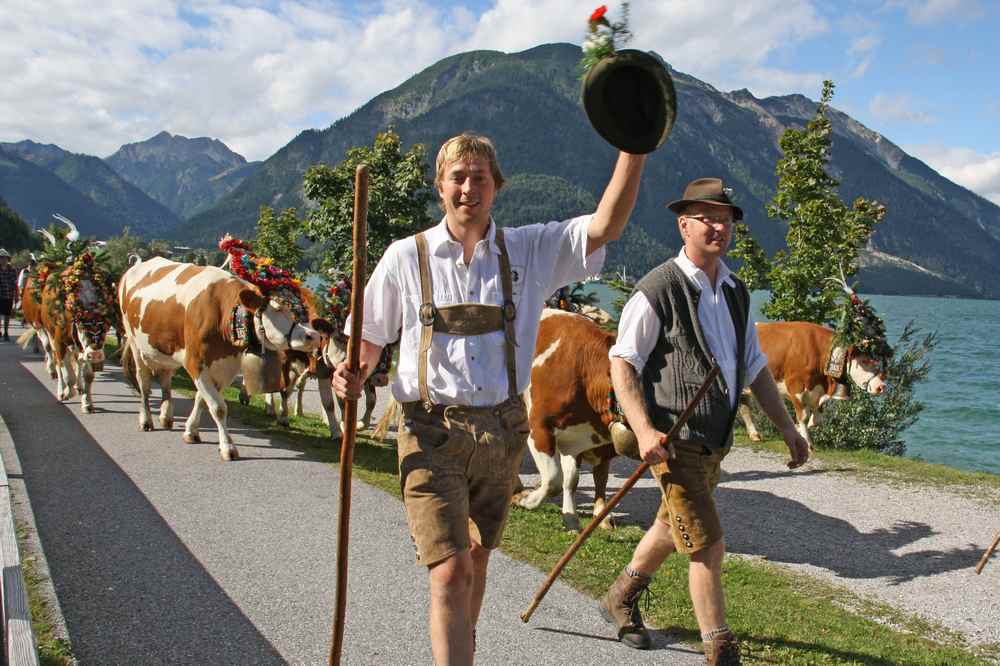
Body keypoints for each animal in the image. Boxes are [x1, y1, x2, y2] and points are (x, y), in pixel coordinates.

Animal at [119, 236, 332, 460]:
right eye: (278, 307)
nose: (313, 336)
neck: (223, 313)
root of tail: (138, 264)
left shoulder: (226, 366)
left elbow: (202, 400)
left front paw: (191, 432)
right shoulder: (195, 363)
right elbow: (218, 406)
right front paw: (227, 447)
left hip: (165, 349)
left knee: (166, 377)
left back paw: (166, 416)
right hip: (134, 343)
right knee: (144, 383)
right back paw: (146, 420)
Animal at [516, 308, 616, 532]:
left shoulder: (577, 439)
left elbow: (571, 480)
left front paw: (571, 519)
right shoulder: (539, 428)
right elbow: (554, 479)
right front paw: (527, 500)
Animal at [740, 320, 888, 446]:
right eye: (864, 361)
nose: (881, 386)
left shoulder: (819, 392)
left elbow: (817, 419)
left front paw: (798, 428)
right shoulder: (796, 389)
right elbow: (803, 417)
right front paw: (807, 442)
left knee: (744, 408)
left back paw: (754, 435)